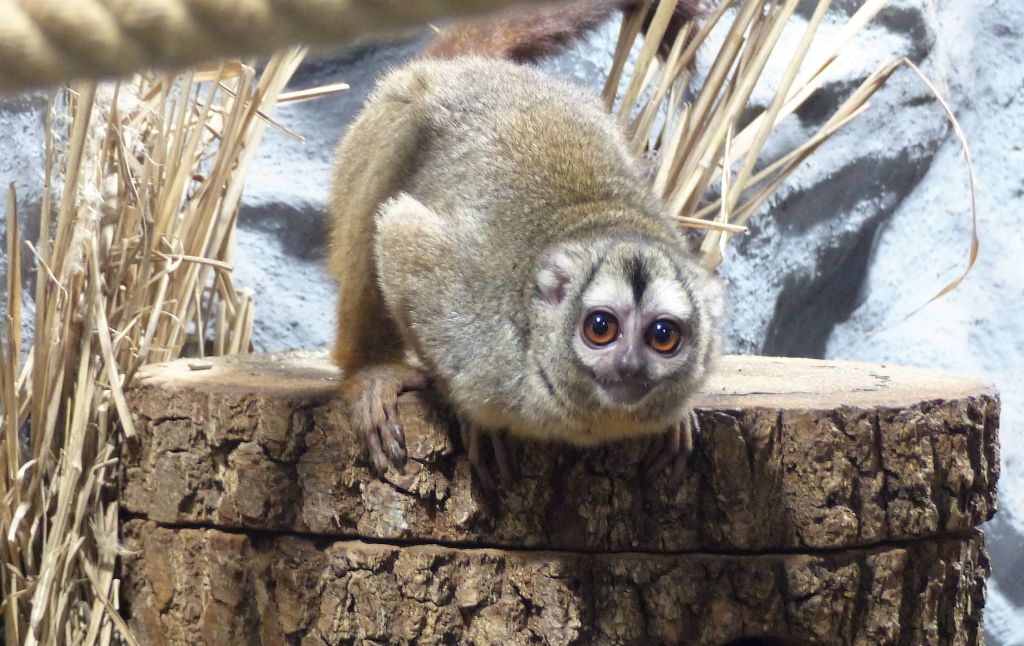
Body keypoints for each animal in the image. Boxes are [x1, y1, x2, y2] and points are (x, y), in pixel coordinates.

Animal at [327, 0, 720, 487]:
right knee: (401, 123)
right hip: (389, 109)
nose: (630, 366)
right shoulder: (480, 335)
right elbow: (401, 233)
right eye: (601, 328)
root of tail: (476, 69)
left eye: (664, 336)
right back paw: (371, 369)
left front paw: (678, 419)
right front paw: (468, 413)